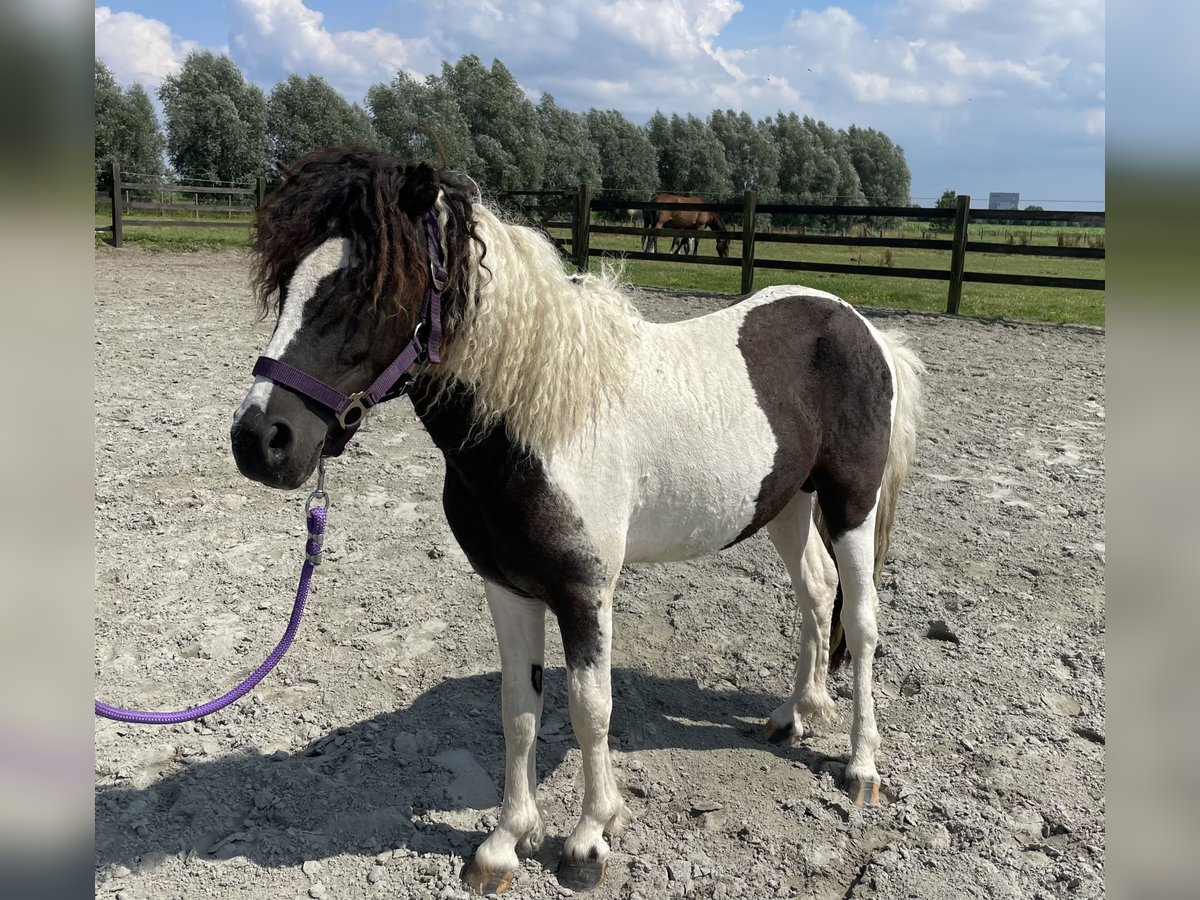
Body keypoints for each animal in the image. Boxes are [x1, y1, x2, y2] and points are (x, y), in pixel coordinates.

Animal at [234, 146, 926, 897]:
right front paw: (505, 843)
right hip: (789, 503)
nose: (259, 440)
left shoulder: (584, 592)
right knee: (816, 591)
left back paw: (861, 766)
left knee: (860, 620)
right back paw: (794, 715)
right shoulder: (506, 587)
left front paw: (591, 838)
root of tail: (864, 328)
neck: (539, 423)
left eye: (366, 291)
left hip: (851, 504)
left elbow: (591, 711)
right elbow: (519, 710)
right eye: (287, 284)